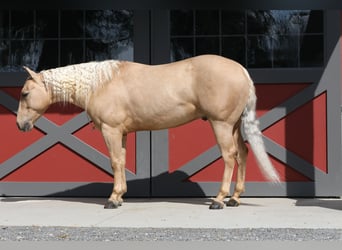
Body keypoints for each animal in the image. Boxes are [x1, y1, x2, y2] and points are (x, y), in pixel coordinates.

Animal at [16, 54, 280, 209]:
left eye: (25, 93)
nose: (20, 125)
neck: (101, 83)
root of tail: (241, 70)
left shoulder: (110, 130)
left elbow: (114, 162)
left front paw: (112, 199)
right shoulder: (121, 133)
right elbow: (121, 161)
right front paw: (120, 195)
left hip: (221, 124)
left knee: (229, 156)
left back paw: (219, 200)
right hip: (234, 125)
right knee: (243, 154)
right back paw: (235, 198)